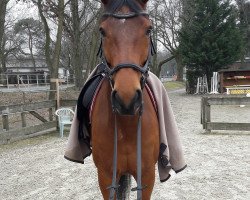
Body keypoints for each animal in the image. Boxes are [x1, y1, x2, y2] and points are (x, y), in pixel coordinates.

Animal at [91, 0, 159, 199]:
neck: (127, 126)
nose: (126, 99)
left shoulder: (147, 175)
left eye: (148, 30)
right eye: (102, 31)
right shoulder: (106, 177)